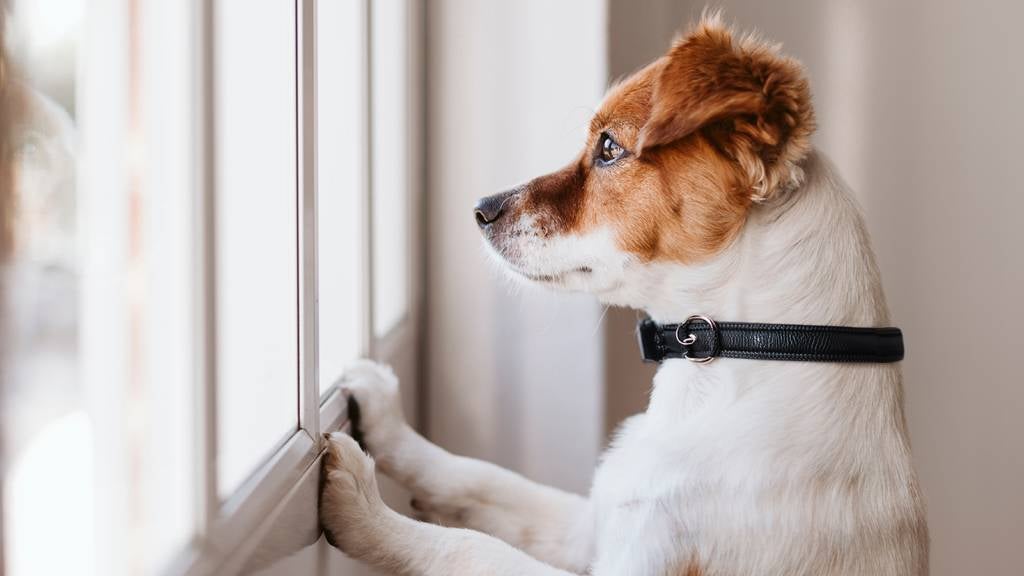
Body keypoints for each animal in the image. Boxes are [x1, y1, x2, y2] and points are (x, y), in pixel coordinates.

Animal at [319, 14, 929, 573]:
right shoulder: (593, 526)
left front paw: (364, 507)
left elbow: (470, 546)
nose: (480, 209)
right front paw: (386, 420)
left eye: (609, 148)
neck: (745, 355)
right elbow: (481, 478)